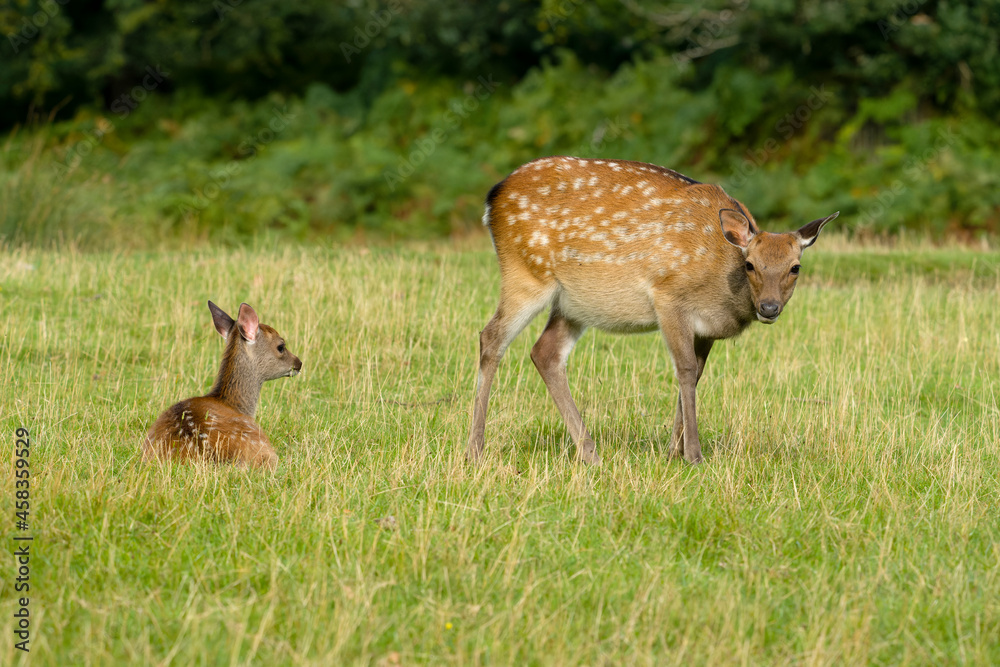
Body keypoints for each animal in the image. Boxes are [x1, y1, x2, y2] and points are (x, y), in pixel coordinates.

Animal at [468, 159, 836, 468]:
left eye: (795, 267)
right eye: (750, 265)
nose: (769, 307)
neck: (721, 287)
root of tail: (493, 198)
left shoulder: (705, 328)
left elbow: (696, 374)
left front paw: (673, 451)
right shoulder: (668, 297)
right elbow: (685, 370)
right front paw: (693, 455)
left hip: (572, 303)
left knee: (545, 352)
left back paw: (590, 453)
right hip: (527, 273)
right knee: (492, 338)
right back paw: (476, 449)